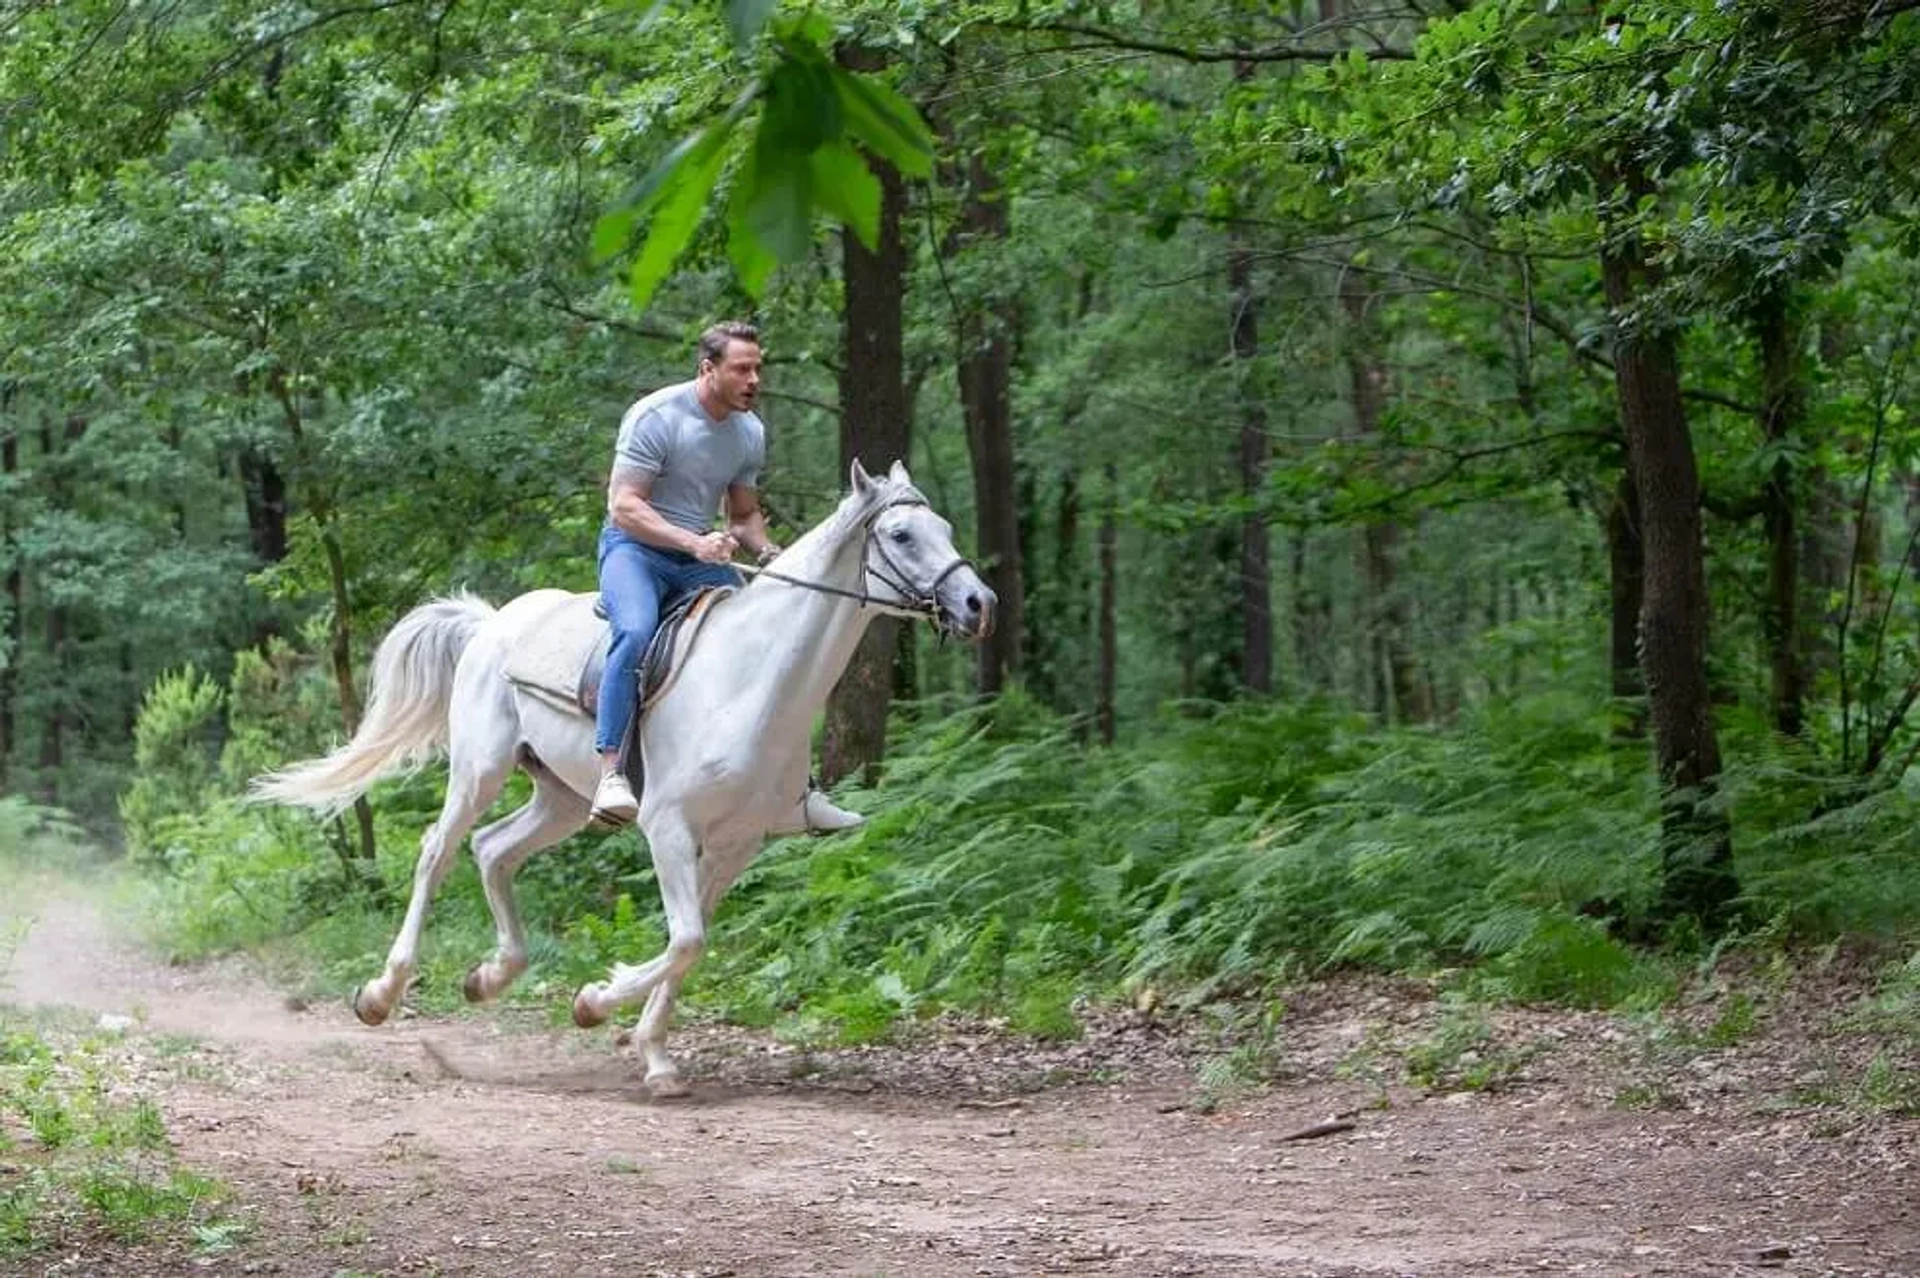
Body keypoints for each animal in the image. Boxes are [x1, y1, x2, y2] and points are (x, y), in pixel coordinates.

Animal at [255, 462, 998, 1089]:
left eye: (945, 529)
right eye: (901, 534)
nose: (978, 603)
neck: (753, 684)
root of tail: (492, 621)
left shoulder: (736, 843)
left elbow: (691, 943)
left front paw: (654, 1055)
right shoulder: (666, 826)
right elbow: (689, 938)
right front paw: (593, 1001)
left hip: (558, 796)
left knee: (493, 850)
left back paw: (490, 977)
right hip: (479, 770)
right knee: (437, 852)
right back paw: (382, 993)